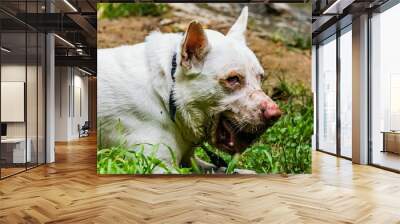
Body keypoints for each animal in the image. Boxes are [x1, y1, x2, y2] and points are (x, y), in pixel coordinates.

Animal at [97, 6, 282, 172]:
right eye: (233, 79)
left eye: (261, 77)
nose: (276, 114)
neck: (168, 94)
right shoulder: (156, 164)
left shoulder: (190, 160)